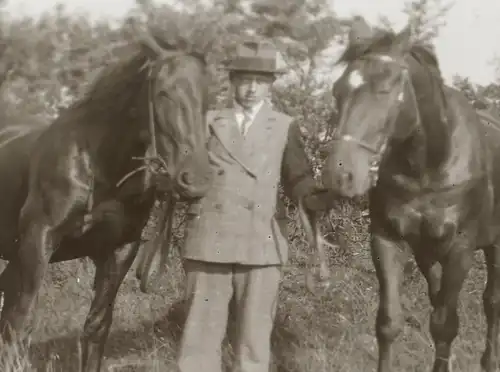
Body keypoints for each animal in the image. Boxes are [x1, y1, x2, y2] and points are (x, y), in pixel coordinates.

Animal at [0, 28, 211, 370]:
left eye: (208, 97)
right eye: (163, 93)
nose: (197, 179)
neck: (97, 166)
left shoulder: (119, 248)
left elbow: (97, 326)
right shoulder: (38, 241)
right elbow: (22, 323)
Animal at [322, 16, 500, 372]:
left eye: (386, 88)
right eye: (338, 90)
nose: (340, 173)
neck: (429, 166)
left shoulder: (461, 249)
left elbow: (446, 325)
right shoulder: (388, 239)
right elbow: (389, 323)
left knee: (491, 303)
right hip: (427, 253)